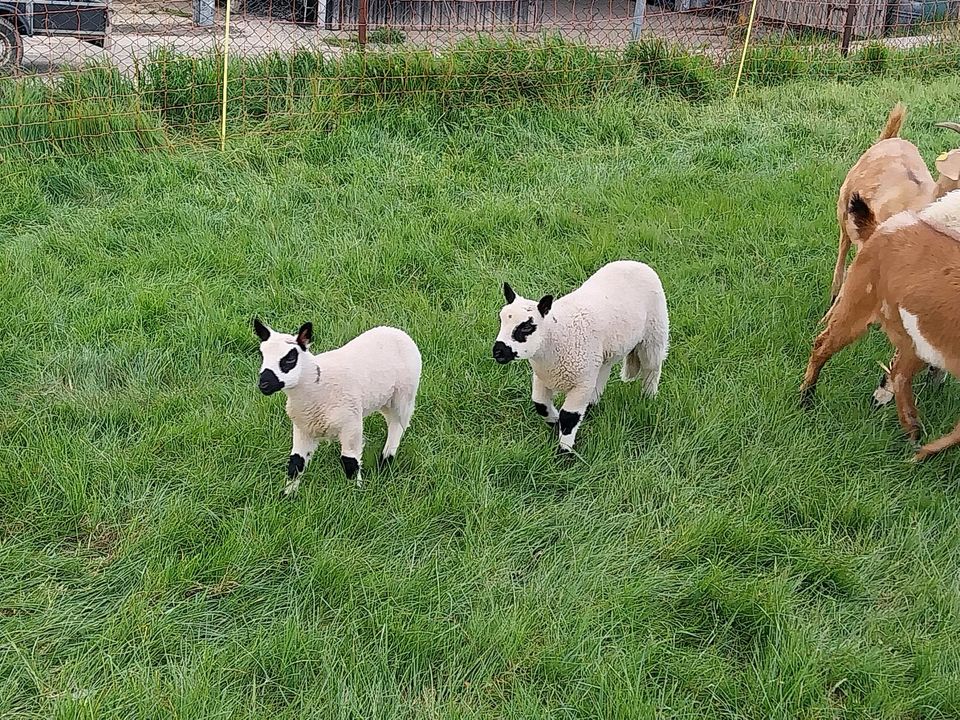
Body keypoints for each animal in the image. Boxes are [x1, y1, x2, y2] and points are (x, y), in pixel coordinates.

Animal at [255, 320, 420, 496]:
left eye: (290, 358)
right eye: (262, 355)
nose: (263, 384)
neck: (317, 385)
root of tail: (395, 331)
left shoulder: (350, 424)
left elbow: (350, 462)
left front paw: (354, 494)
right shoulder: (303, 428)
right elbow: (295, 463)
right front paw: (287, 495)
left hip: (404, 395)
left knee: (397, 426)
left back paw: (385, 462)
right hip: (385, 399)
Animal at [496, 258, 668, 452]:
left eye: (526, 327)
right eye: (501, 319)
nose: (498, 351)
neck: (556, 336)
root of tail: (635, 262)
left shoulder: (581, 383)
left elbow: (569, 417)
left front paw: (565, 452)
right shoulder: (542, 377)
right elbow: (540, 405)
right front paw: (554, 421)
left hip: (655, 332)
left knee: (652, 369)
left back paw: (649, 397)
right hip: (601, 355)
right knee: (603, 373)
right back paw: (592, 405)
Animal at [800, 190, 960, 462]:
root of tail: (879, 229)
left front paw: (921, 454)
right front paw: (920, 456)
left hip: (915, 339)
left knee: (900, 374)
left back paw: (913, 433)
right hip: (858, 304)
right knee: (822, 345)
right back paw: (805, 398)